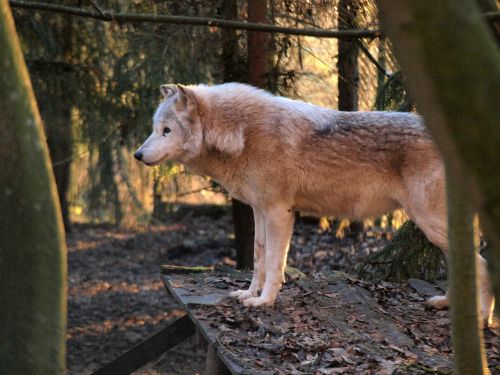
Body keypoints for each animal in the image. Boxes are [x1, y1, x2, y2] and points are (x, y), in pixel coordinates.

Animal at [135, 82, 494, 324]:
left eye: (166, 130)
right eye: (153, 128)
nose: (137, 155)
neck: (241, 133)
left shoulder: (279, 213)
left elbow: (274, 265)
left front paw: (264, 302)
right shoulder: (259, 211)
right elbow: (259, 258)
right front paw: (249, 294)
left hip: (431, 223)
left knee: (481, 265)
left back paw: (482, 318)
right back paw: (446, 304)